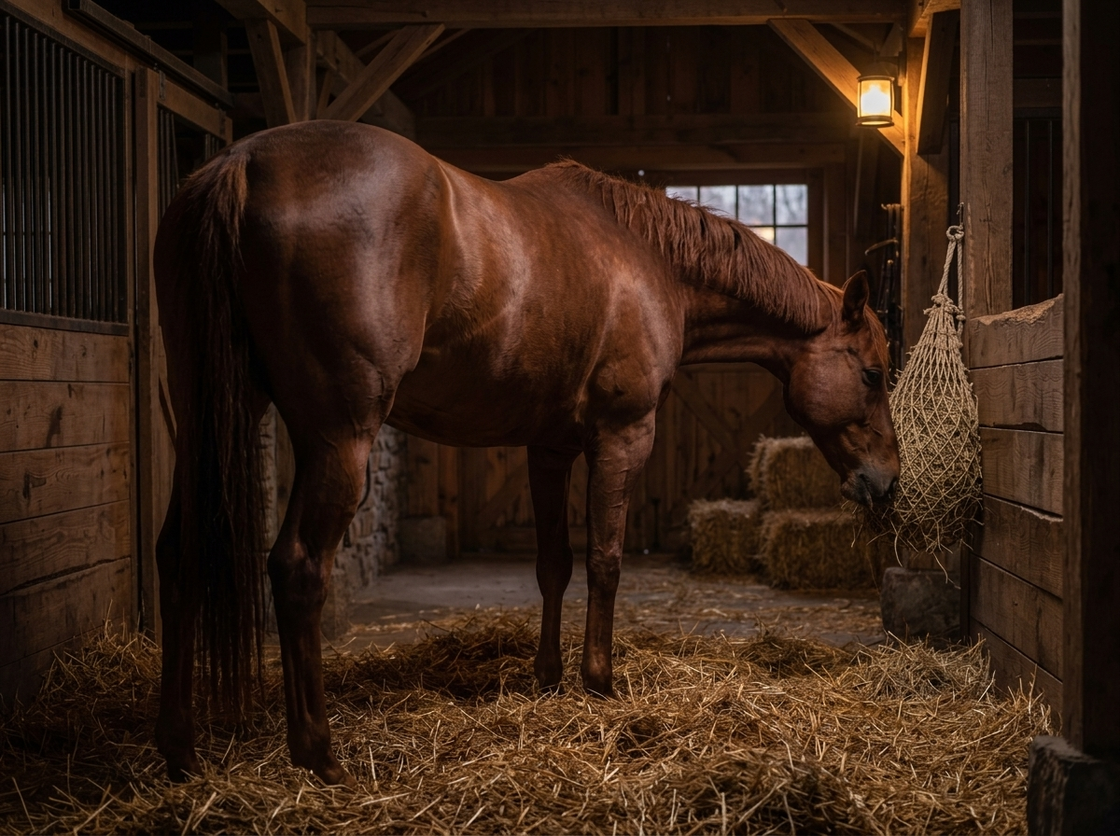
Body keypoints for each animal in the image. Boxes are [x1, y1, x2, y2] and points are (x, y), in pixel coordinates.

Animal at [152, 120, 898, 787]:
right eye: (872, 374)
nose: (886, 481)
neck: (648, 260)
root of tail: (245, 162)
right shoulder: (623, 435)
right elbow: (605, 561)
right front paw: (599, 681)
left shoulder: (550, 448)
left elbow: (553, 566)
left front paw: (549, 678)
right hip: (338, 439)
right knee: (299, 569)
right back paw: (319, 755)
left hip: (207, 420)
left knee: (179, 556)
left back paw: (180, 750)